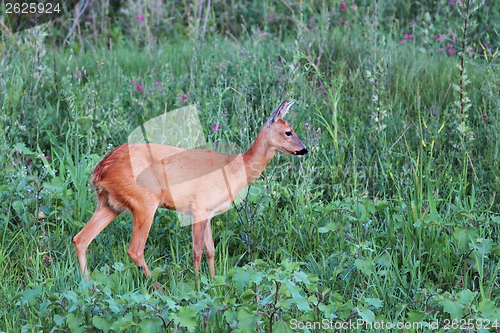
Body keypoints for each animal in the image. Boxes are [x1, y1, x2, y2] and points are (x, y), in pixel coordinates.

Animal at [73, 100, 308, 282]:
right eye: (288, 132)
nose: (304, 149)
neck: (234, 169)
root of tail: (99, 170)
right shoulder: (200, 207)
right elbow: (197, 251)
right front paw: (196, 284)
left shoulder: (209, 212)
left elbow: (210, 250)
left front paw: (213, 280)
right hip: (144, 201)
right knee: (135, 249)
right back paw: (157, 287)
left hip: (110, 204)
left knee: (80, 239)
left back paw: (87, 284)